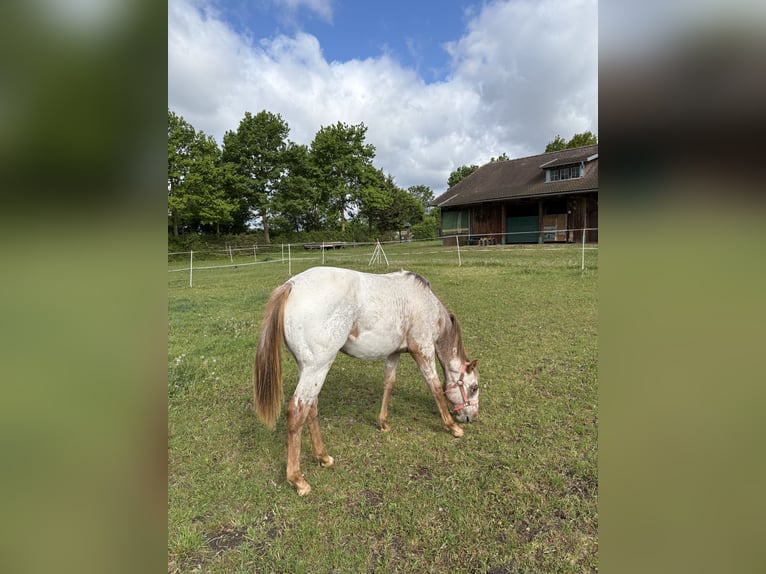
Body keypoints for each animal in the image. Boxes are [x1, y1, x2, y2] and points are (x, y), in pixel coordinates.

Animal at [253, 266, 479, 495]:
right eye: (474, 387)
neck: (425, 303)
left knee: (311, 407)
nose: (471, 417)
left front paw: (384, 423)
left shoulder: (394, 353)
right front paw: (452, 428)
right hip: (318, 367)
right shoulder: (423, 350)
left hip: (308, 369)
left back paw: (323, 457)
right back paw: (298, 480)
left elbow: (389, 383)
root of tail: (291, 285)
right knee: (297, 412)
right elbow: (435, 388)